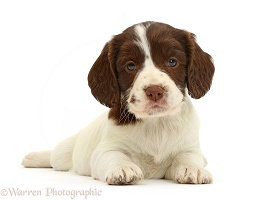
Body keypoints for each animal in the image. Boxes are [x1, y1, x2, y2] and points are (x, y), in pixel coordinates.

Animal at [22, 21, 214, 184]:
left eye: (172, 62)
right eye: (130, 66)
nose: (154, 91)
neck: (156, 123)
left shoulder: (189, 146)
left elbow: (188, 156)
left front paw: (192, 168)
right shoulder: (106, 148)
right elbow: (114, 155)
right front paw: (123, 168)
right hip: (64, 152)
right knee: (54, 156)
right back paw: (33, 158)